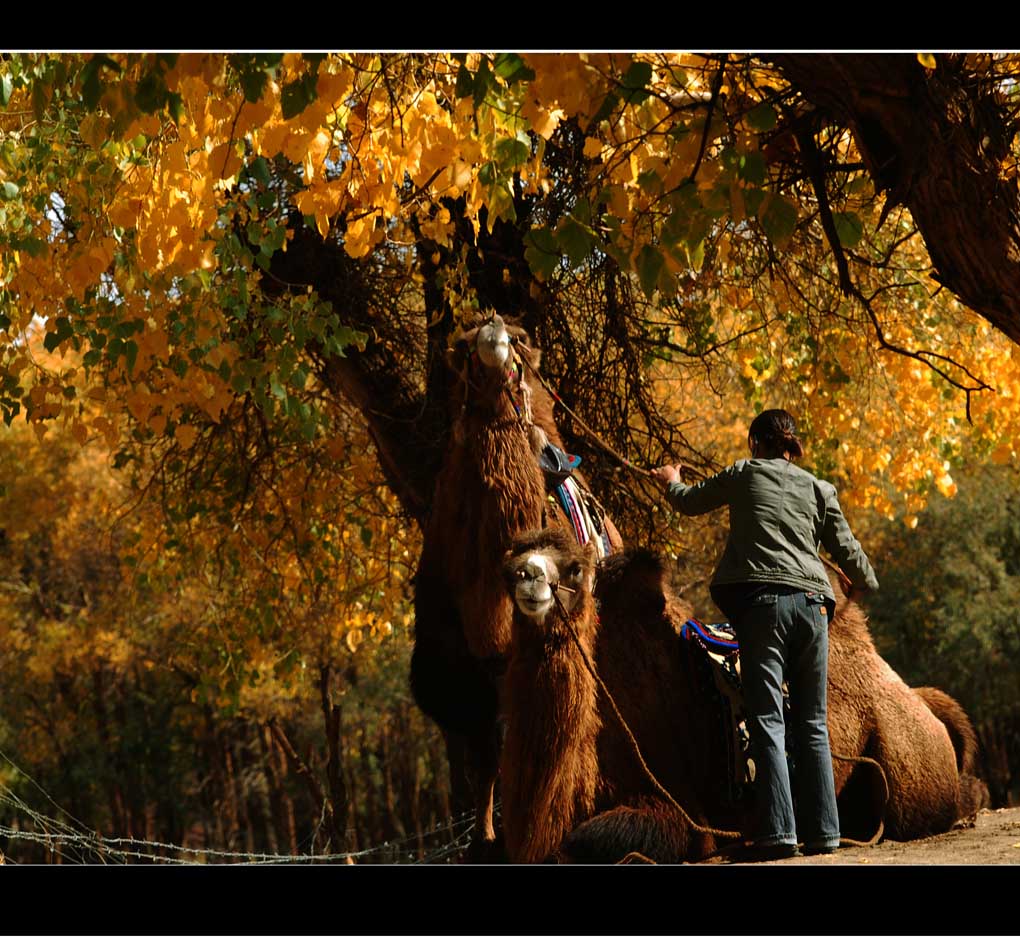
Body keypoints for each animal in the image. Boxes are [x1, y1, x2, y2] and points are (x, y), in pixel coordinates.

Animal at [412, 316, 620, 856]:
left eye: (523, 340)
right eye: (461, 347)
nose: (493, 327)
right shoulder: (457, 667)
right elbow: (483, 757)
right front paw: (483, 841)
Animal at [497, 526, 983, 864]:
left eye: (575, 569)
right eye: (510, 563)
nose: (528, 576)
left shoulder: (679, 811)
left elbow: (589, 840)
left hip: (909, 767)